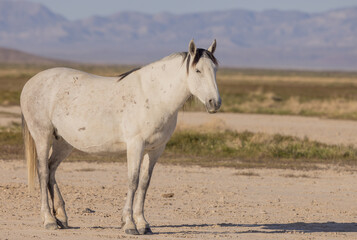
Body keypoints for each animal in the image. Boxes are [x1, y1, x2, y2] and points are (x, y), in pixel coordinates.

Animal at [20, 39, 220, 234]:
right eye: (198, 70)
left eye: (215, 69)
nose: (215, 103)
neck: (155, 96)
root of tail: (31, 83)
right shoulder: (135, 145)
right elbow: (133, 181)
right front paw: (130, 224)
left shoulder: (156, 149)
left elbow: (144, 183)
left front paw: (143, 224)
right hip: (42, 135)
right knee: (43, 171)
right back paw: (49, 220)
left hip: (63, 142)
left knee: (51, 169)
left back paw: (61, 217)